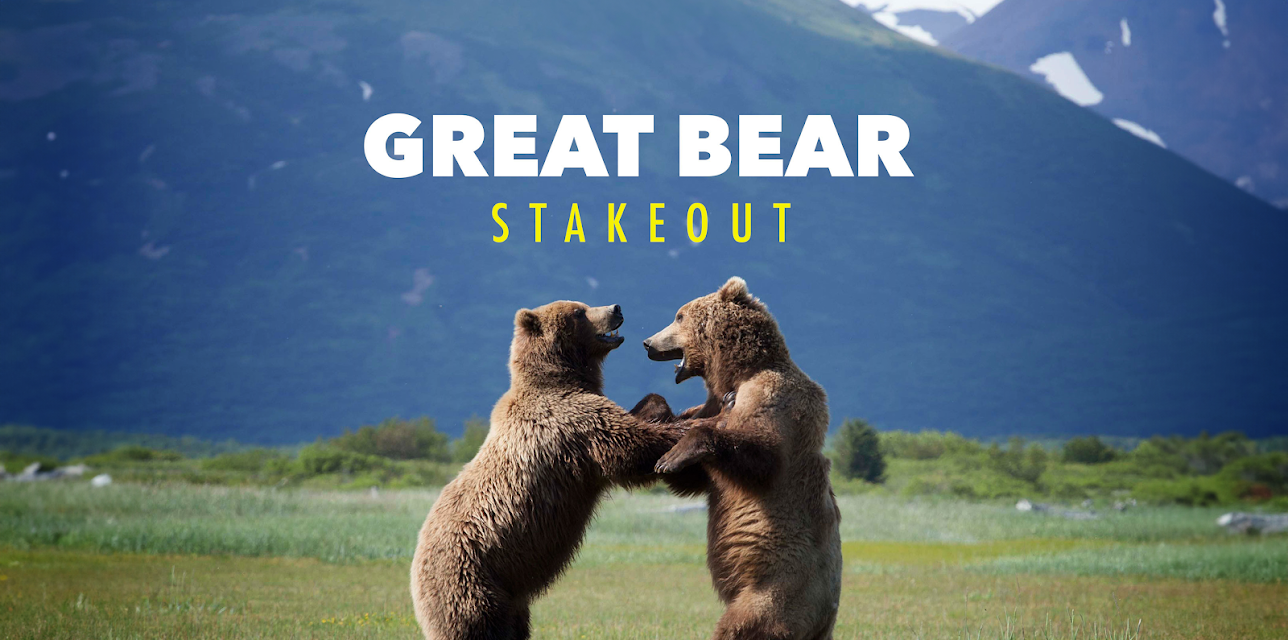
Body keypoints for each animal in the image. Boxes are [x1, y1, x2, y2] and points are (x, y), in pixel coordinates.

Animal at [411, 301, 687, 640]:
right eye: (579, 312)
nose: (615, 307)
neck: (561, 377)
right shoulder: (570, 421)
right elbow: (627, 446)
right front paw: (686, 429)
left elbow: (635, 415)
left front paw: (660, 408)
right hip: (471, 583)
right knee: (479, 626)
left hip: (512, 601)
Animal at [641, 277, 843, 640]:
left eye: (678, 316)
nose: (648, 343)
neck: (736, 373)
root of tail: (825, 619)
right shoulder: (710, 407)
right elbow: (694, 475)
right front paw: (655, 419)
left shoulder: (775, 399)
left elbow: (762, 456)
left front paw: (675, 454)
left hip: (778, 591)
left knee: (744, 624)